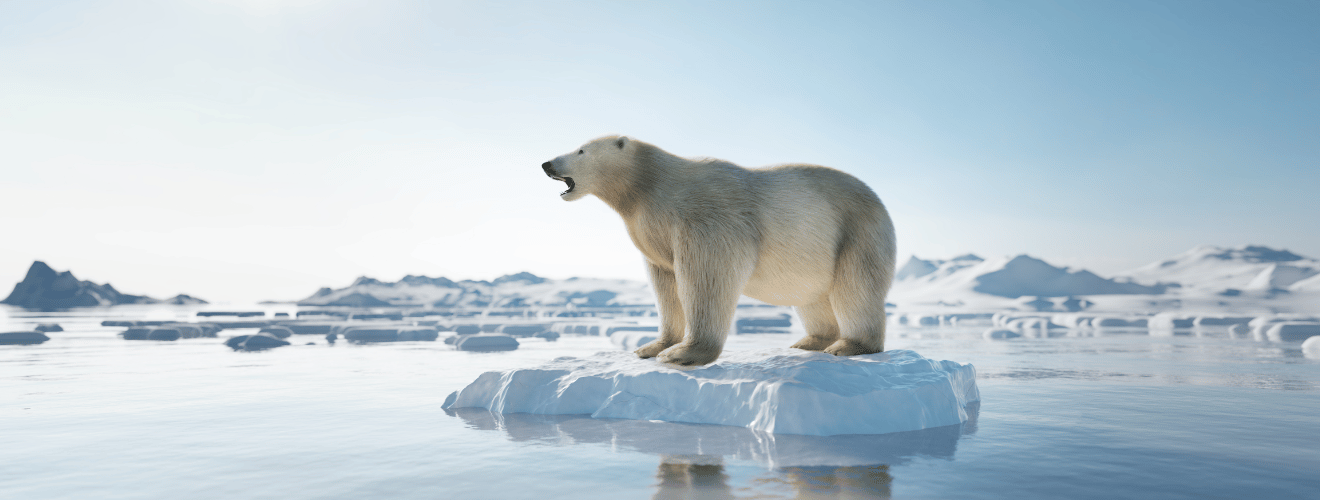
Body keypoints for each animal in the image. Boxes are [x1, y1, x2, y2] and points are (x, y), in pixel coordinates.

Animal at [538, 135, 897, 366]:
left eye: (581, 150)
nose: (546, 163)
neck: (649, 185)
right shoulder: (653, 232)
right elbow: (665, 285)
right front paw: (652, 346)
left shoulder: (705, 217)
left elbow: (707, 276)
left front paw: (683, 354)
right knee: (813, 297)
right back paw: (810, 341)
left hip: (857, 232)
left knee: (855, 288)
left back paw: (849, 345)